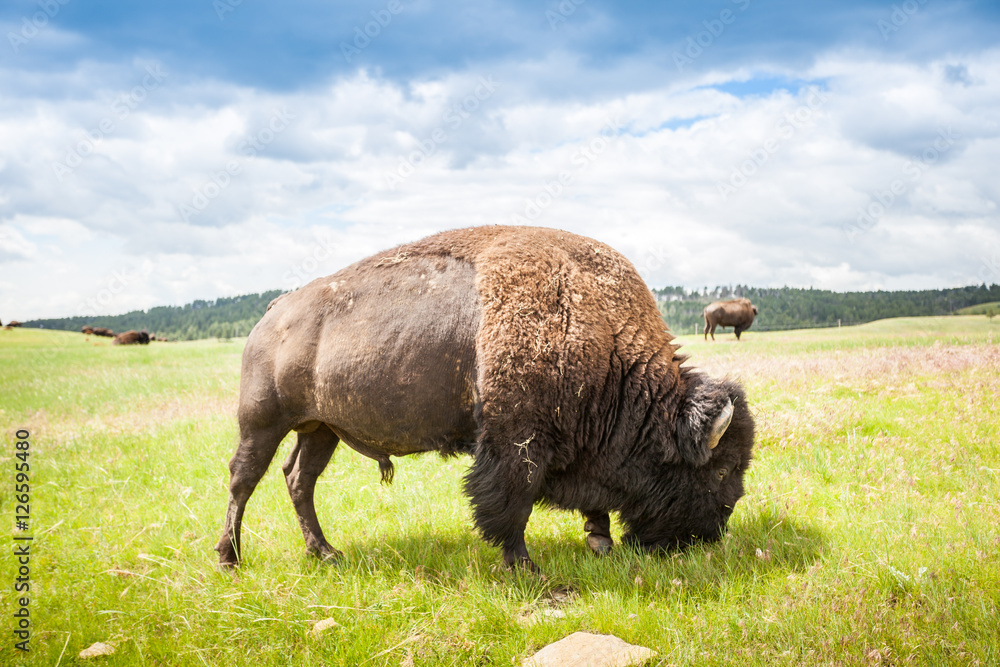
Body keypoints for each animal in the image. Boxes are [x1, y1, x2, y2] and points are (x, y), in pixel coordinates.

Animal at [215, 227, 752, 572]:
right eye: (721, 470)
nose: (714, 533)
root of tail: (275, 310)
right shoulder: (517, 444)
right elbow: (510, 504)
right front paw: (524, 566)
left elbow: (587, 499)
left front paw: (599, 541)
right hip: (262, 422)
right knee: (244, 480)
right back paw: (229, 558)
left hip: (321, 429)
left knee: (298, 480)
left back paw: (325, 553)